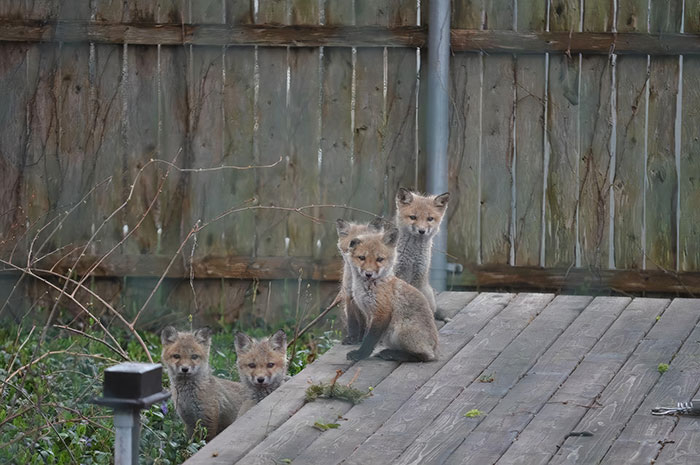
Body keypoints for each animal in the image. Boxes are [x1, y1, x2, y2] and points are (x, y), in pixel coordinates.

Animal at [346, 227, 439, 362]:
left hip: (400, 331)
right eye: (362, 257)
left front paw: (360, 354)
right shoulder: (369, 314)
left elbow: (369, 340)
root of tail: (435, 350)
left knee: (423, 356)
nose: (368, 274)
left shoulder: (382, 312)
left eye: (379, 259)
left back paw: (393, 354)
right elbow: (366, 336)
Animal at [394, 187, 450, 318]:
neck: (411, 257)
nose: (422, 231)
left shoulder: (418, 276)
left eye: (430, 219)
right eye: (413, 217)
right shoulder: (396, 273)